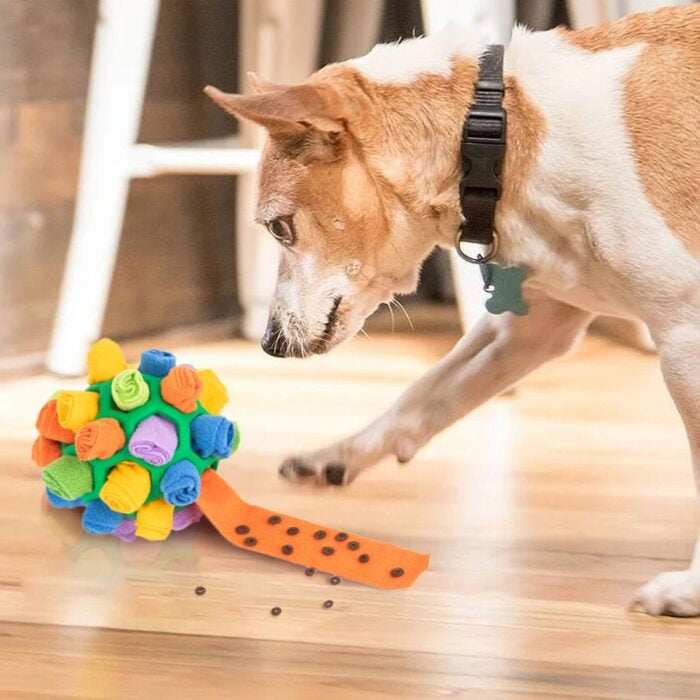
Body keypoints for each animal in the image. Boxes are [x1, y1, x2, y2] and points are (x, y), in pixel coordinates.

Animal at [208, 6, 700, 616]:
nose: (270, 343)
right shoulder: (534, 327)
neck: (498, 133)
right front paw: (339, 455)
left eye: (278, 227)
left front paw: (688, 589)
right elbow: (428, 392)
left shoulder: (685, 341)